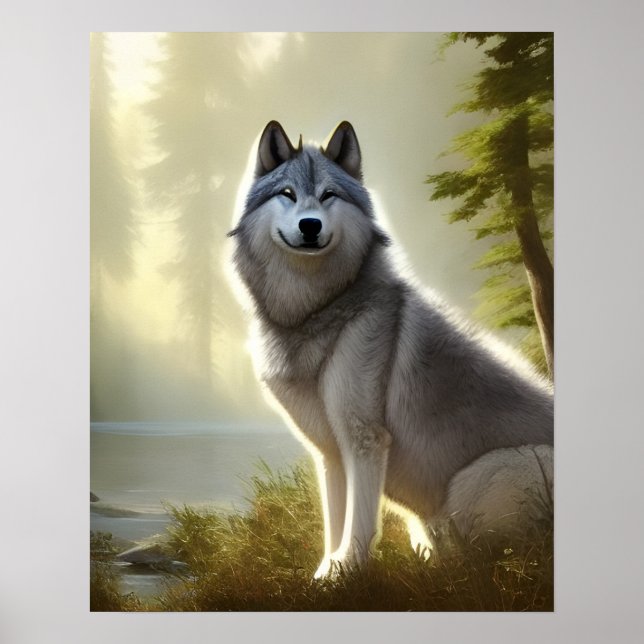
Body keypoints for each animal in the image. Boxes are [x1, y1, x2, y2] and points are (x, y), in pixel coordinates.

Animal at [228, 120, 554, 577]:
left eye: (329, 195)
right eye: (288, 194)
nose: (310, 225)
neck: (317, 312)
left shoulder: (366, 439)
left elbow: (360, 521)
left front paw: (348, 571)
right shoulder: (329, 452)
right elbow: (334, 520)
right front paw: (325, 573)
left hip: (468, 488)